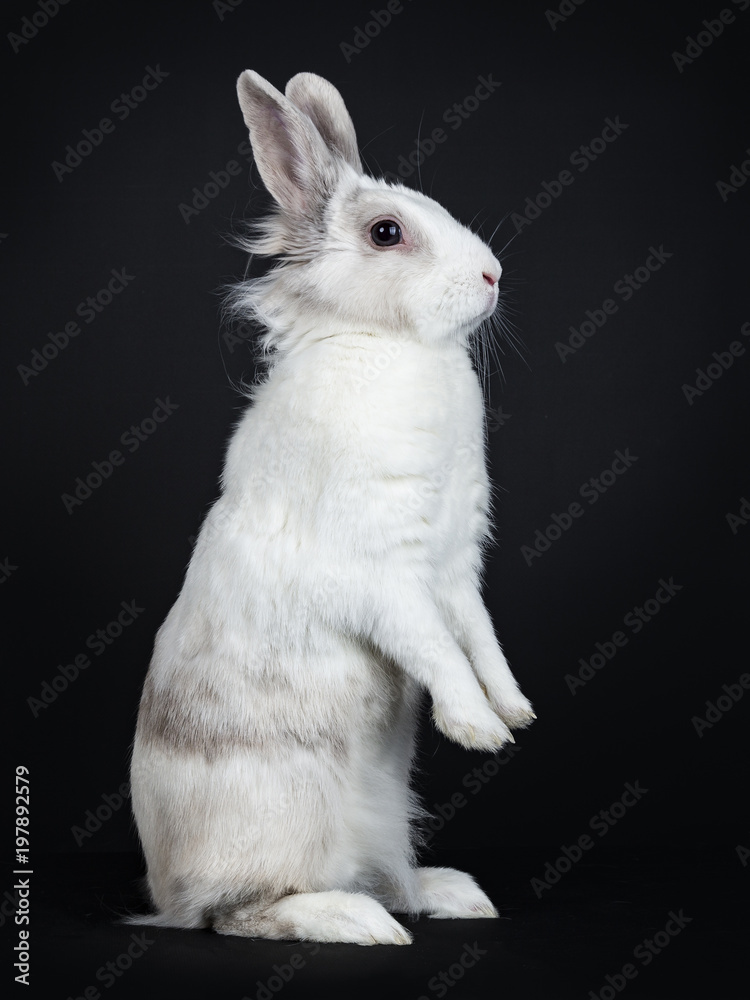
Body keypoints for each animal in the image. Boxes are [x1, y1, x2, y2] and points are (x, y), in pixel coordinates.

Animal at [128, 68, 535, 946]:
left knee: (382, 877)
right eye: (387, 232)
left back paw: (449, 893)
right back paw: (356, 921)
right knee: (239, 914)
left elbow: (478, 637)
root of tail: (165, 893)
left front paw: (514, 711)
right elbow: (434, 647)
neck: (387, 343)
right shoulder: (383, 575)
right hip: (283, 823)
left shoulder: (454, 568)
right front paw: (476, 729)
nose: (493, 275)